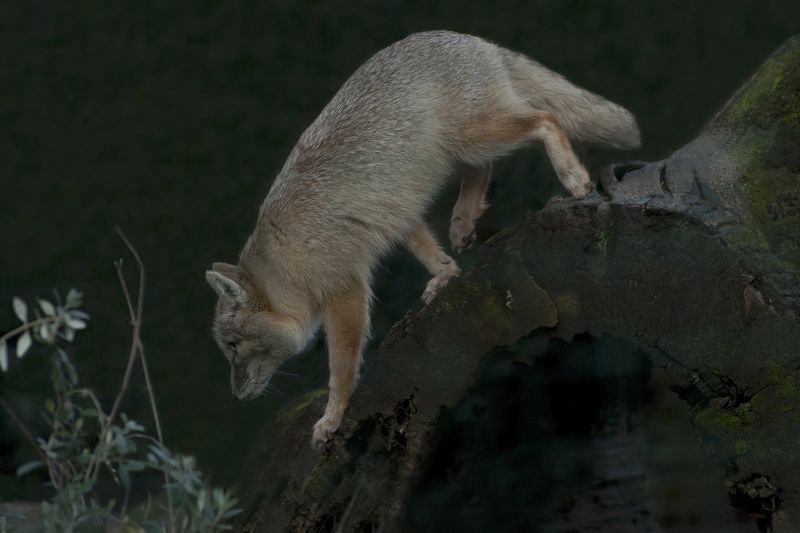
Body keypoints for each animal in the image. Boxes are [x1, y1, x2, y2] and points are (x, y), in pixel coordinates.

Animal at [205, 31, 640, 448]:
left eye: (232, 347)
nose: (236, 395)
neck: (286, 256)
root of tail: (469, 38)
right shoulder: (395, 217)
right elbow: (428, 250)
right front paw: (446, 274)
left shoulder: (346, 292)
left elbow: (340, 368)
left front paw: (334, 415)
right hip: (462, 148)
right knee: (483, 170)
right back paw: (463, 222)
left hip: (475, 136)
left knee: (543, 119)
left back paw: (572, 177)